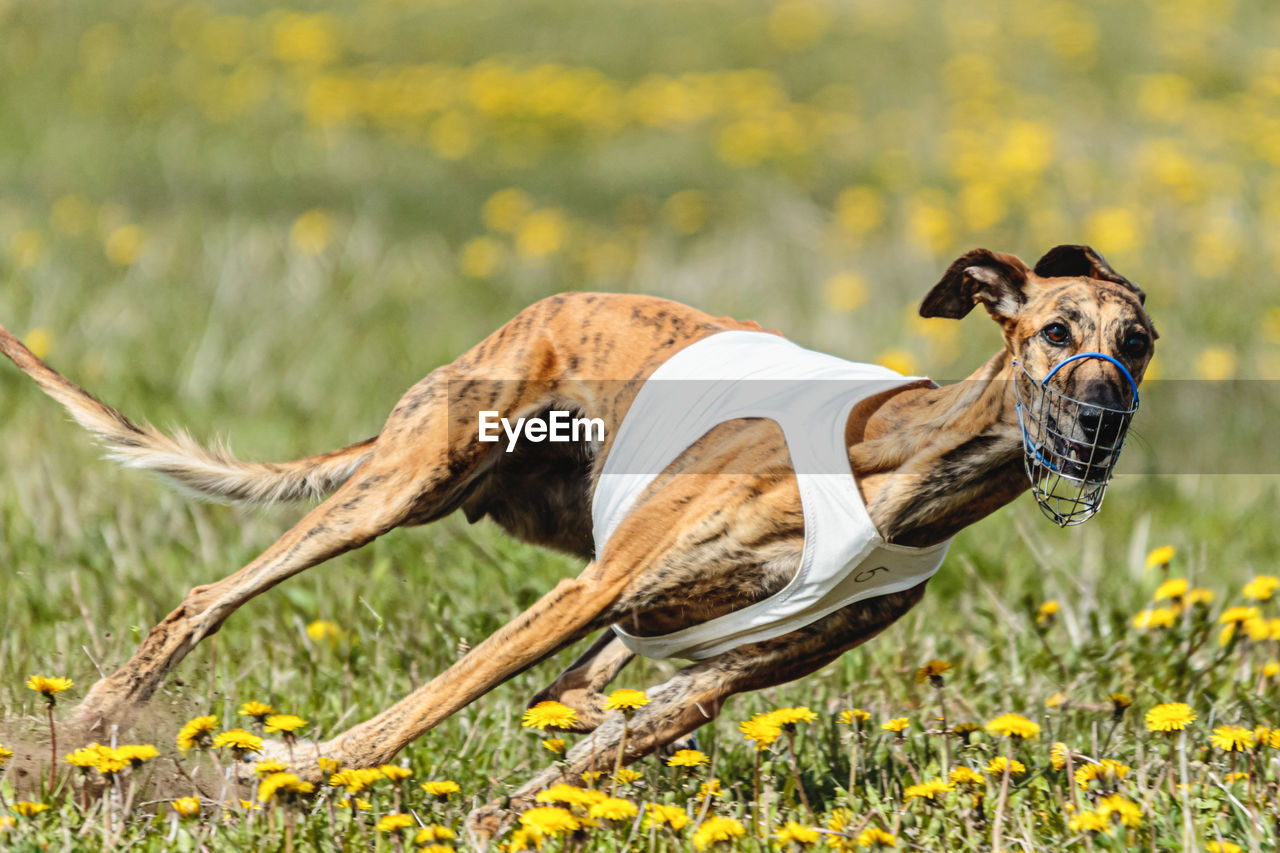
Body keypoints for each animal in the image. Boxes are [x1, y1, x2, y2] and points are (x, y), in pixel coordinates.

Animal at [0, 240, 1157, 829]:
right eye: (1054, 329)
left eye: (1137, 340)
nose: (1101, 424)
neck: (907, 469)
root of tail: (537, 307)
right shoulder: (590, 592)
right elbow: (427, 704)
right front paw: (298, 768)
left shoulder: (717, 675)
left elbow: (576, 758)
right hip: (404, 487)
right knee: (209, 598)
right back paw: (81, 736)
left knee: (571, 697)